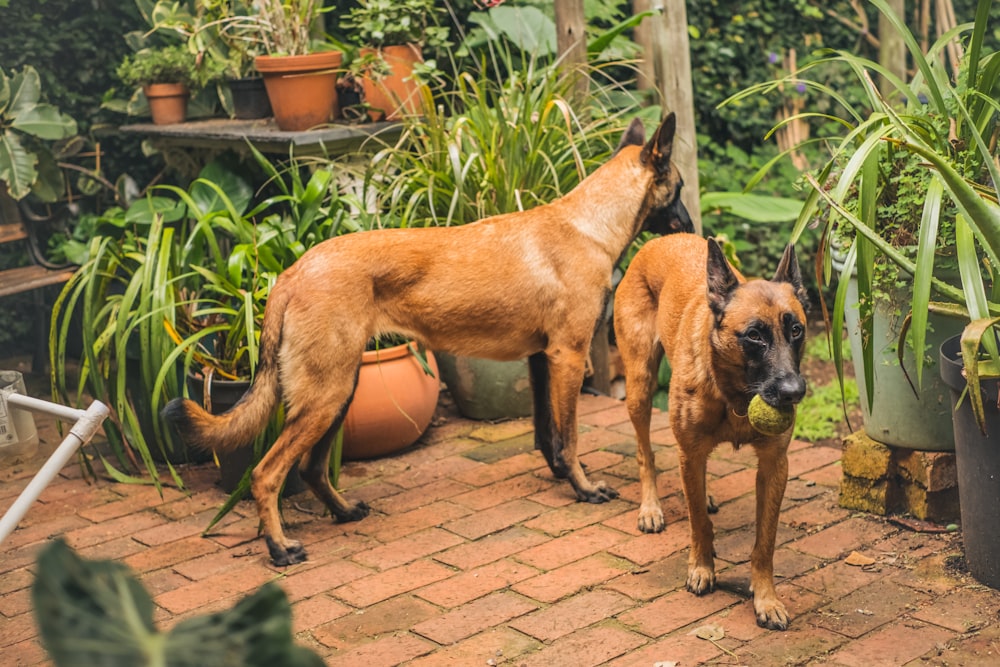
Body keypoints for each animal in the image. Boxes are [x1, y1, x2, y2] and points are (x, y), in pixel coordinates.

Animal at [166, 113, 696, 564]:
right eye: (680, 187)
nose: (694, 228)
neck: (588, 225)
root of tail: (291, 273)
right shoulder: (568, 357)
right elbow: (569, 439)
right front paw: (584, 489)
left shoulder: (540, 360)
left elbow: (547, 437)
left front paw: (561, 478)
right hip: (325, 396)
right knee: (267, 472)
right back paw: (280, 548)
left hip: (338, 391)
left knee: (311, 468)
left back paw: (342, 513)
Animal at [612, 235, 808, 632]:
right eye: (754, 336)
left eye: (796, 330)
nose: (794, 393)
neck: (735, 396)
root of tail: (657, 241)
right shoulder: (690, 452)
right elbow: (699, 524)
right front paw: (702, 569)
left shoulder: (774, 466)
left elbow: (765, 542)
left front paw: (766, 599)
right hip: (640, 387)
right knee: (645, 452)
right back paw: (651, 508)